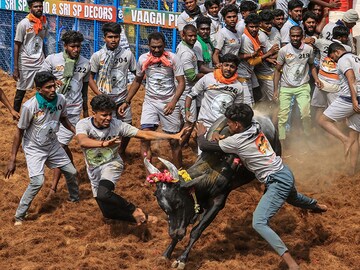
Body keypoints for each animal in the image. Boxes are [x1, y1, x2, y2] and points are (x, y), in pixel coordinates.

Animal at [144, 113, 282, 268]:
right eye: (162, 207)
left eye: (178, 202)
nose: (175, 234)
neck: (214, 167)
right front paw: (166, 254)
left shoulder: (218, 203)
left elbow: (196, 230)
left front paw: (181, 259)